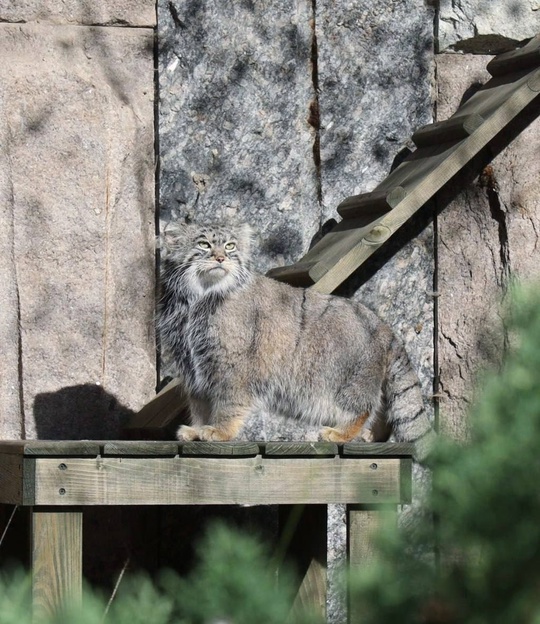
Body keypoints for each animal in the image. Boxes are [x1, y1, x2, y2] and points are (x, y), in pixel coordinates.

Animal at [158, 221, 432, 454]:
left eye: (230, 246)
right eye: (204, 244)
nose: (220, 258)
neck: (198, 300)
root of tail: (385, 327)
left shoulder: (232, 366)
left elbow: (228, 403)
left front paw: (219, 431)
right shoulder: (193, 367)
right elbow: (199, 405)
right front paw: (196, 430)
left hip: (348, 383)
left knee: (362, 409)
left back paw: (340, 434)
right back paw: (368, 437)